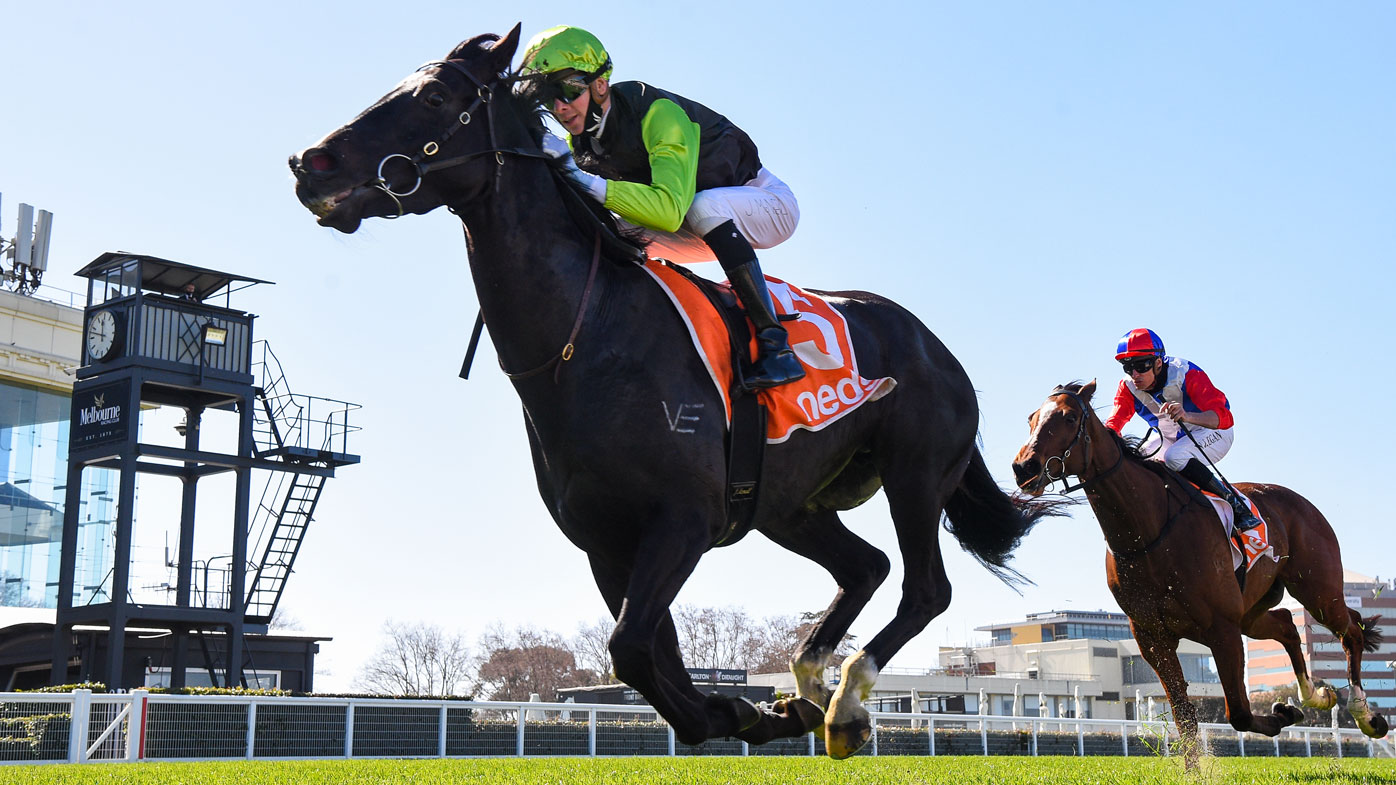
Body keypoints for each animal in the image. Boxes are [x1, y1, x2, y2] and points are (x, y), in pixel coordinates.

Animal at [288, 25, 1064, 758]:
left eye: (434, 97)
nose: (309, 164)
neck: (589, 337)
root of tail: (937, 346)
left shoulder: (682, 520)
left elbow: (632, 649)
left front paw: (743, 710)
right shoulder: (608, 543)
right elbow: (646, 654)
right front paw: (755, 710)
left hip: (915, 474)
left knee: (925, 587)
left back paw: (844, 702)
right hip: (790, 505)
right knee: (866, 565)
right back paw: (810, 679)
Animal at [1011, 380, 1388, 766]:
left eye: (1069, 417)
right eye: (1031, 418)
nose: (1024, 467)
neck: (1149, 530)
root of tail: (1302, 502)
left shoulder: (1222, 628)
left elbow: (1238, 712)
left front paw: (1282, 714)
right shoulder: (1153, 637)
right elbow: (1184, 715)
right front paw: (1201, 765)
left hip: (1317, 590)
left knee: (1350, 632)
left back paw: (1366, 716)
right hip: (1252, 612)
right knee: (1287, 624)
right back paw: (1316, 696)